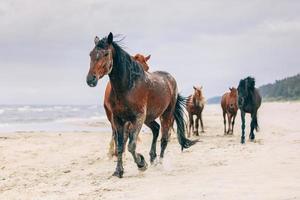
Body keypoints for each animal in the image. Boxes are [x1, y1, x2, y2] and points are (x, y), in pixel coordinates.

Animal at [86, 32, 197, 178]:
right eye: (91, 54)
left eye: (106, 54)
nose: (90, 79)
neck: (127, 87)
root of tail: (170, 78)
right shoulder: (118, 120)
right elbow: (120, 145)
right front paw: (118, 171)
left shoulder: (137, 118)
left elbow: (131, 145)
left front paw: (141, 164)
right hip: (148, 118)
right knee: (156, 129)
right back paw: (153, 158)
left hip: (166, 114)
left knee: (164, 138)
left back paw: (160, 163)